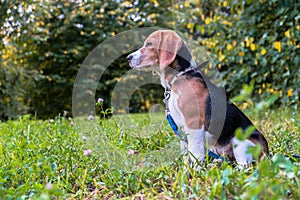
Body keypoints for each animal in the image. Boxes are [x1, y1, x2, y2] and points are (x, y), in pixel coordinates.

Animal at [127, 29, 270, 167]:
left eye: (149, 44)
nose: (128, 58)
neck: (180, 76)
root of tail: (267, 153)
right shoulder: (181, 129)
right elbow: (186, 155)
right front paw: (186, 171)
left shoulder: (194, 124)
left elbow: (195, 154)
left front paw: (195, 172)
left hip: (238, 140)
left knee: (244, 166)